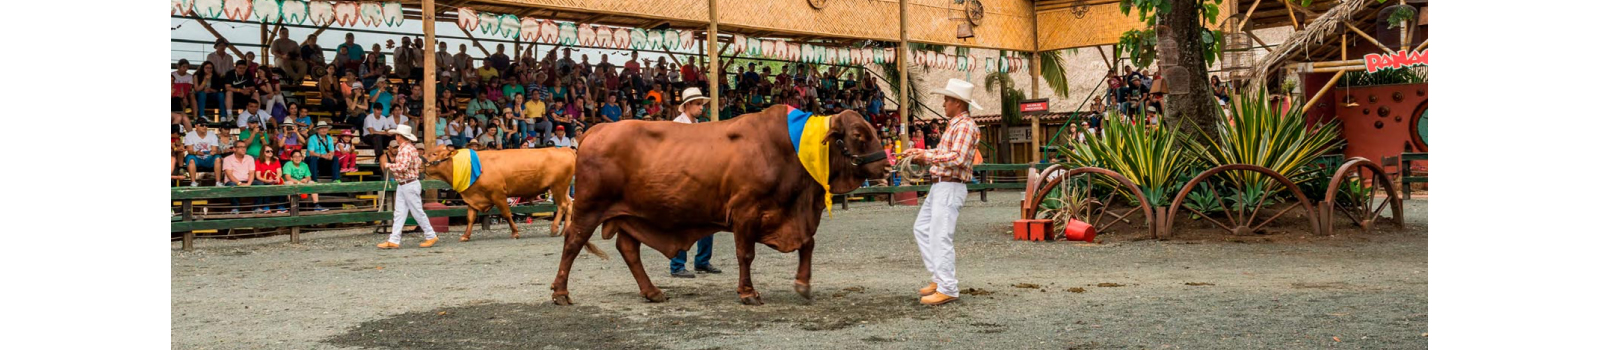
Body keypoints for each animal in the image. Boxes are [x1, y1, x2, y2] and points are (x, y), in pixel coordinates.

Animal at [419, 146, 604, 258]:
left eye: (435, 153)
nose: (420, 159)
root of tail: (564, 149)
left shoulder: (498, 194)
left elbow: (507, 213)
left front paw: (515, 232)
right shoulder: (473, 197)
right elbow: (470, 218)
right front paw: (465, 235)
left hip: (558, 186)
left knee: (563, 205)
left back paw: (554, 229)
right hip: (563, 188)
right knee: (570, 205)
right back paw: (564, 230)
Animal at [550, 105, 889, 305]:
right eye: (858, 134)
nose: (885, 166)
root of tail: (596, 129)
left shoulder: (793, 216)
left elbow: (807, 244)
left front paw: (803, 284)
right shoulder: (745, 212)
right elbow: (746, 254)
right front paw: (748, 292)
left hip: (632, 215)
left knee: (628, 249)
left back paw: (652, 291)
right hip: (589, 207)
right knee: (573, 242)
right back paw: (561, 293)